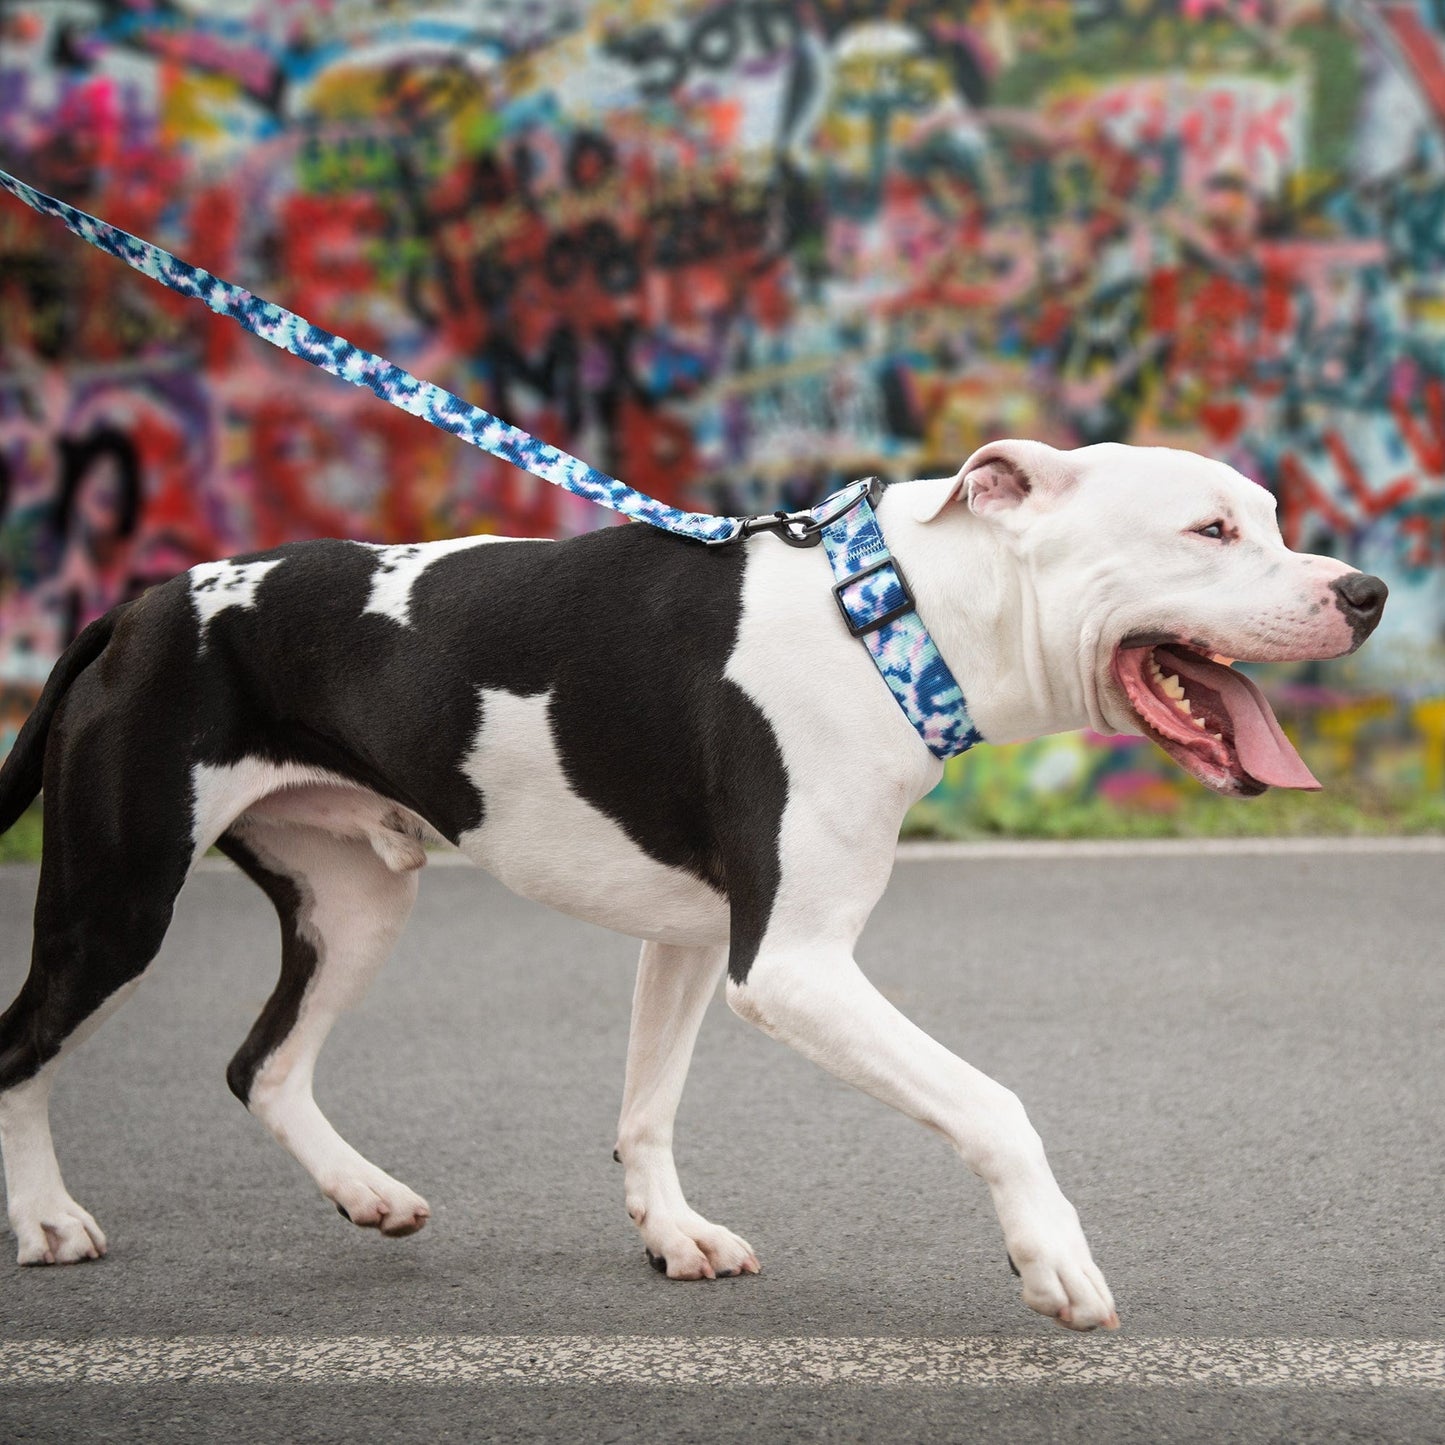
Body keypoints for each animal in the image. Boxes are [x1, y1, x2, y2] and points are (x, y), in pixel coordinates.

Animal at [0, 439, 1381, 1329]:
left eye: (1266, 518)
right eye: (1208, 530)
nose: (1363, 590)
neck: (889, 620)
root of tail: (135, 604)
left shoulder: (690, 936)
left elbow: (647, 1107)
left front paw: (672, 1234)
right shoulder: (794, 964)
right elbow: (992, 1101)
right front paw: (1051, 1258)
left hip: (355, 901)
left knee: (265, 1064)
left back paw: (367, 1193)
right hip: (116, 904)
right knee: (22, 1048)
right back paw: (49, 1219)